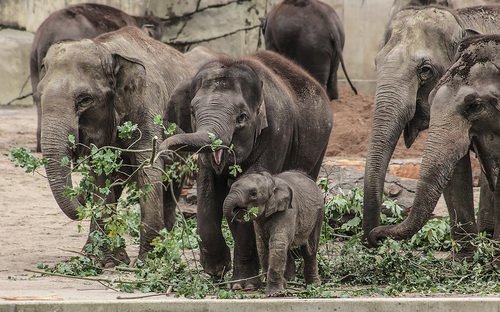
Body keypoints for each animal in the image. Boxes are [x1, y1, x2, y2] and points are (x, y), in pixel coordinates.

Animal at [37, 26, 191, 266]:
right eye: (39, 94)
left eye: (84, 100)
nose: (81, 197)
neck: (107, 49)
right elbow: (100, 175)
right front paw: (104, 261)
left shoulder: (147, 103)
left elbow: (149, 166)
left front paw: (148, 262)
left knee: (172, 183)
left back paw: (168, 249)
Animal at [159, 50, 332, 290]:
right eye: (193, 111)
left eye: (241, 117)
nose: (163, 152)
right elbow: (208, 194)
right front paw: (216, 269)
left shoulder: (278, 131)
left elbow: (249, 197)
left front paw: (244, 286)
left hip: (319, 146)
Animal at [362, 3, 500, 255]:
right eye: (377, 63)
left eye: (425, 70)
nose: (375, 240)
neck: (460, 19)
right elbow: (455, 171)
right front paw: (466, 257)